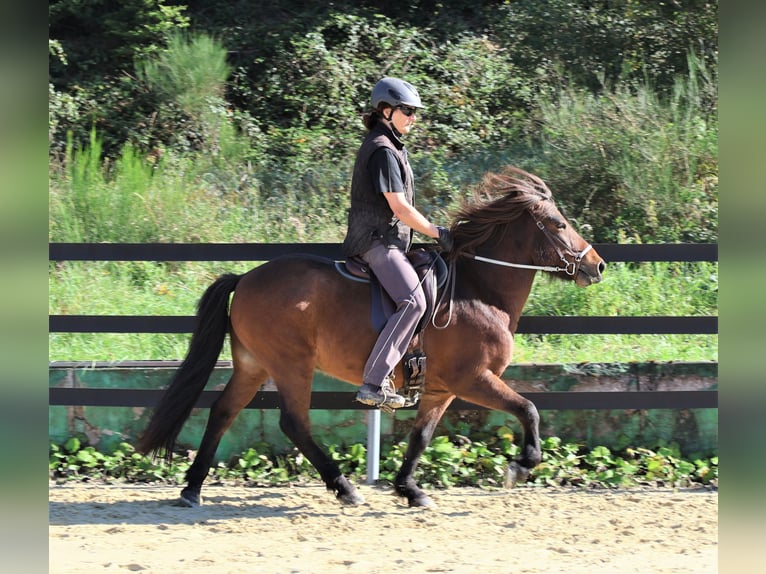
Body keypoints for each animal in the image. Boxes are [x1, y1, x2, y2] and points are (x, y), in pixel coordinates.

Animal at [138, 166, 608, 508]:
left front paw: (410, 490)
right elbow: (529, 409)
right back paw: (343, 486)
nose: (597, 265)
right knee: (293, 422)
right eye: (558, 224)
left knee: (223, 411)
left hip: (253, 364)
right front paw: (521, 466)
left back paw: (192, 489)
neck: (480, 291)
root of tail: (247, 277)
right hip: (291, 364)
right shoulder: (473, 379)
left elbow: (421, 437)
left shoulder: (440, 389)